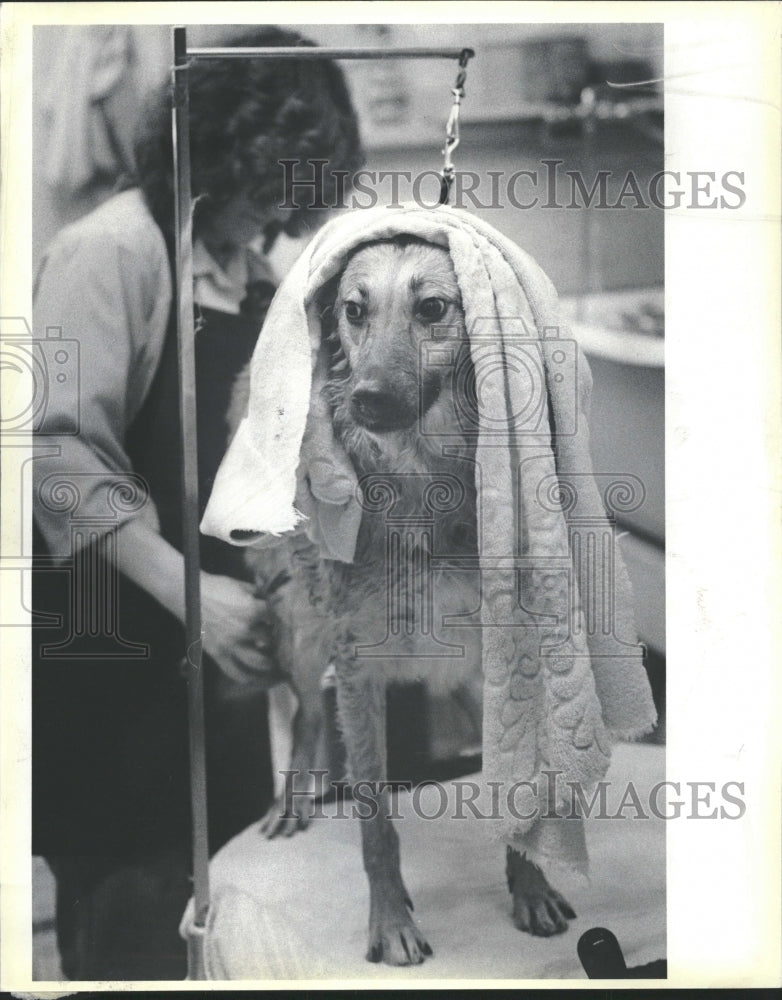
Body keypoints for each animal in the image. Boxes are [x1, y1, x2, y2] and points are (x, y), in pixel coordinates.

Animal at [242, 238, 580, 964]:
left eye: (431, 309)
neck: (422, 485)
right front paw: (391, 923)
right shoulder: (359, 674)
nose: (367, 400)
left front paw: (531, 888)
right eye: (354, 310)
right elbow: (376, 827)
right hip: (304, 629)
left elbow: (520, 796)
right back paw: (293, 800)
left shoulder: (502, 659)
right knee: (306, 710)